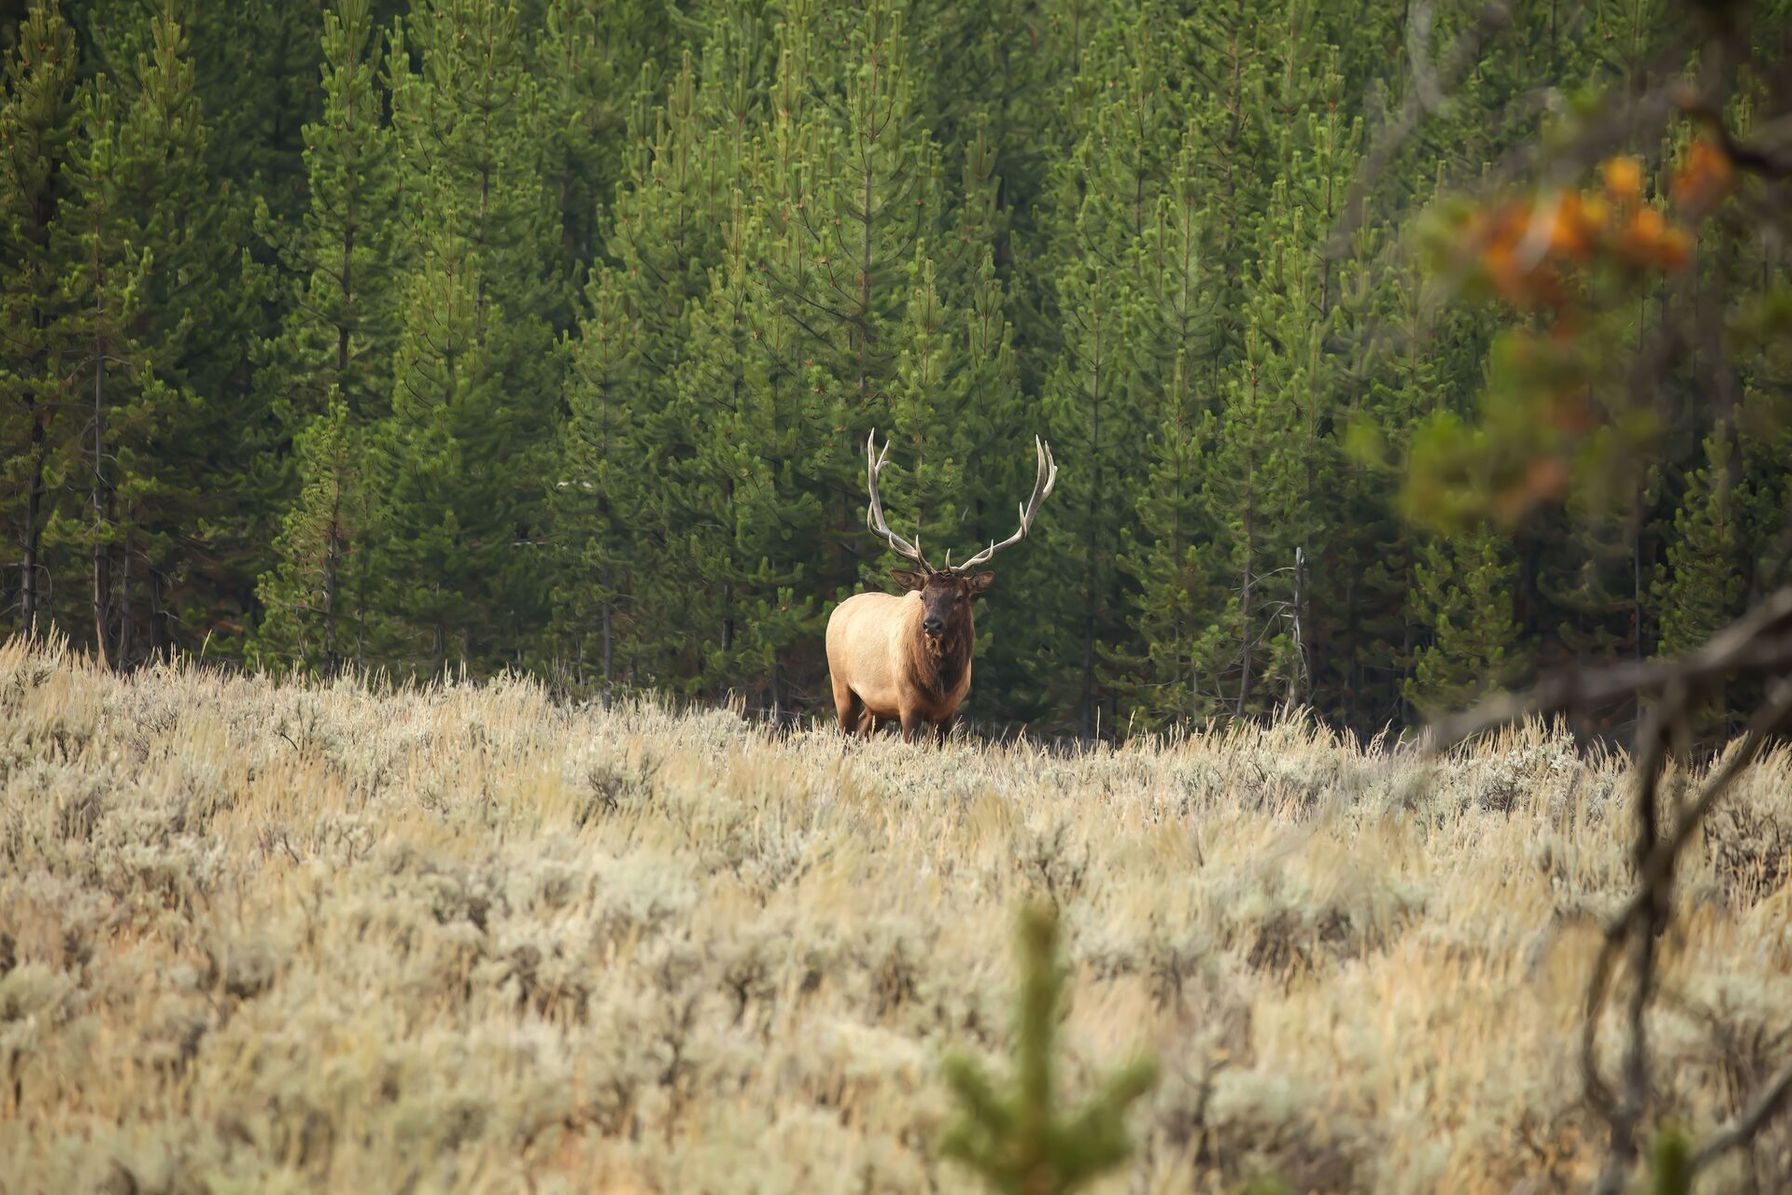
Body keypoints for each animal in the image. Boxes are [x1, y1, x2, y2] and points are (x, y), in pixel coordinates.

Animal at [825, 430, 1058, 741]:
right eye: (923, 595)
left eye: (960, 596)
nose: (932, 624)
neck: (939, 684)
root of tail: (838, 609)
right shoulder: (907, 705)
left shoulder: (949, 712)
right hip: (841, 684)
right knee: (845, 731)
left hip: (876, 709)